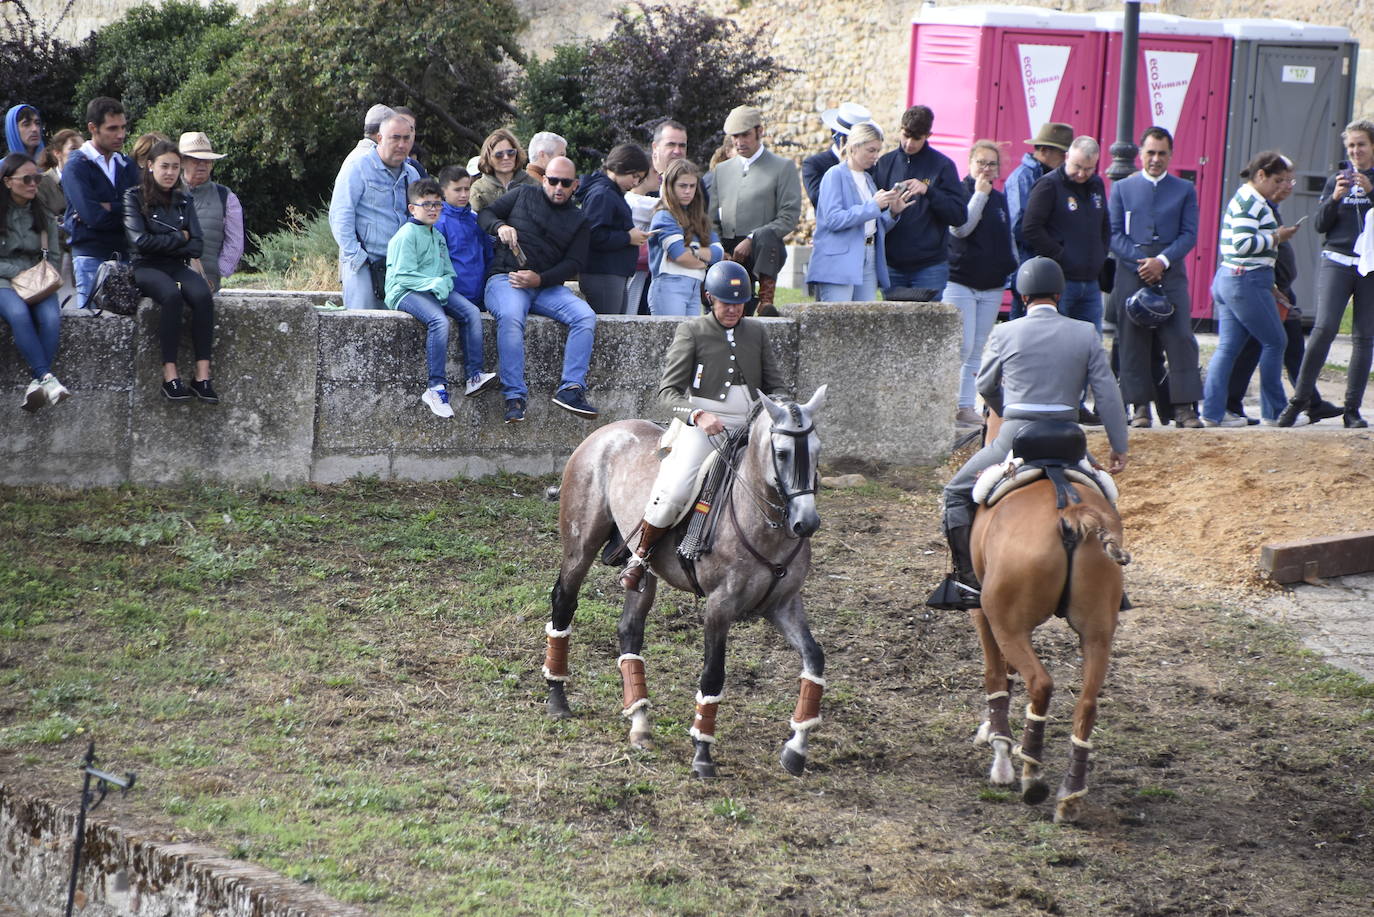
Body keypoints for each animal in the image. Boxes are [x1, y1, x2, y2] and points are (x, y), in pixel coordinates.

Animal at [541, 384, 829, 775]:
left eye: (817, 450)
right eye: (782, 453)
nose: (806, 523)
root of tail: (605, 433)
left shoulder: (784, 604)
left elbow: (814, 658)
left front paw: (796, 749)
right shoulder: (719, 606)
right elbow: (713, 675)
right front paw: (702, 753)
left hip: (643, 572)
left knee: (629, 630)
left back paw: (640, 723)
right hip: (579, 546)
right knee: (564, 602)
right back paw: (558, 699)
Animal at [967, 412, 1126, 819]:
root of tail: (1071, 513)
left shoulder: (984, 614)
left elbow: (996, 675)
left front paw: (999, 748)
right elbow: (1006, 673)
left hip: (1007, 623)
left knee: (1040, 684)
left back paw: (1031, 775)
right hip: (1097, 634)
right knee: (1087, 704)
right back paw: (1070, 794)